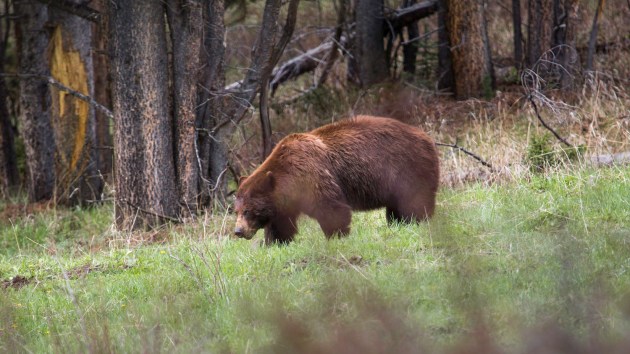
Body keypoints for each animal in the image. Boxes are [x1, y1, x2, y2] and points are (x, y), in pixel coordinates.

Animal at [232, 115, 440, 243]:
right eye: (236, 211)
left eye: (248, 211)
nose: (238, 231)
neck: (289, 179)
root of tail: (427, 137)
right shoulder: (284, 203)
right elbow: (280, 225)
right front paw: (275, 242)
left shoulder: (312, 176)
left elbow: (331, 208)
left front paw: (337, 236)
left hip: (409, 169)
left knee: (416, 202)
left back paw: (418, 221)